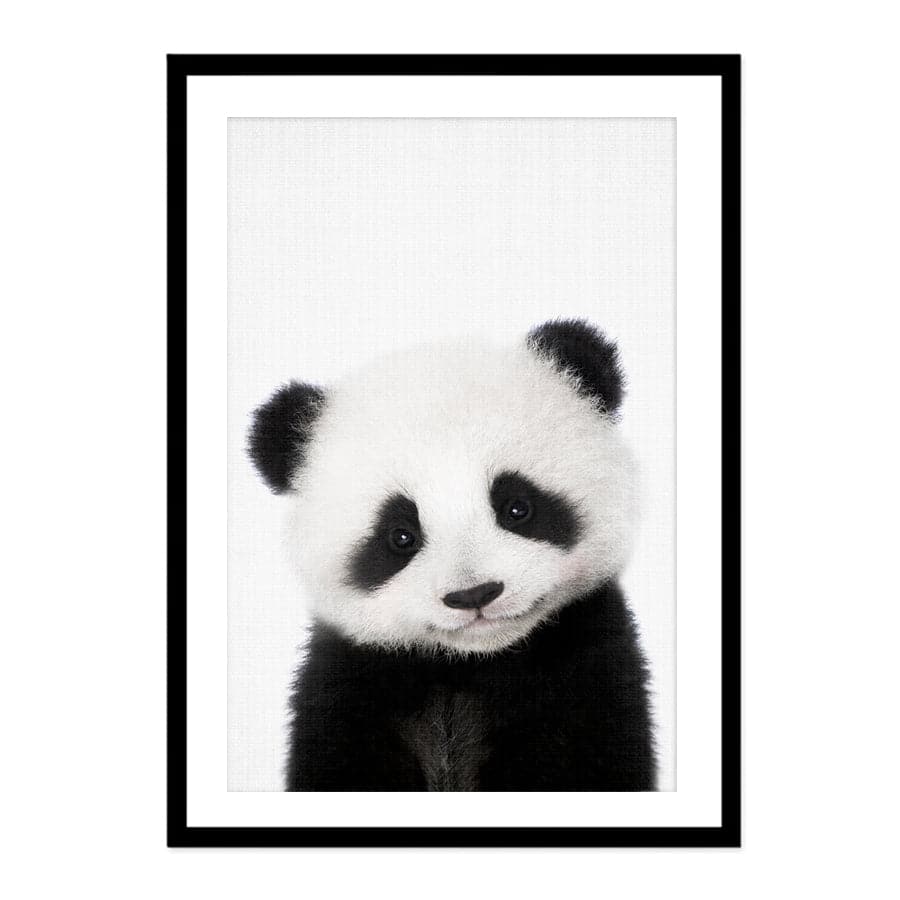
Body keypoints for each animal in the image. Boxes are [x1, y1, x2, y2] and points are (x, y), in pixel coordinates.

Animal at [248, 319, 656, 791]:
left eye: (517, 507)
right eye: (400, 536)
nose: (474, 594)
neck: (468, 665)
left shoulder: (587, 672)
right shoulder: (348, 687)